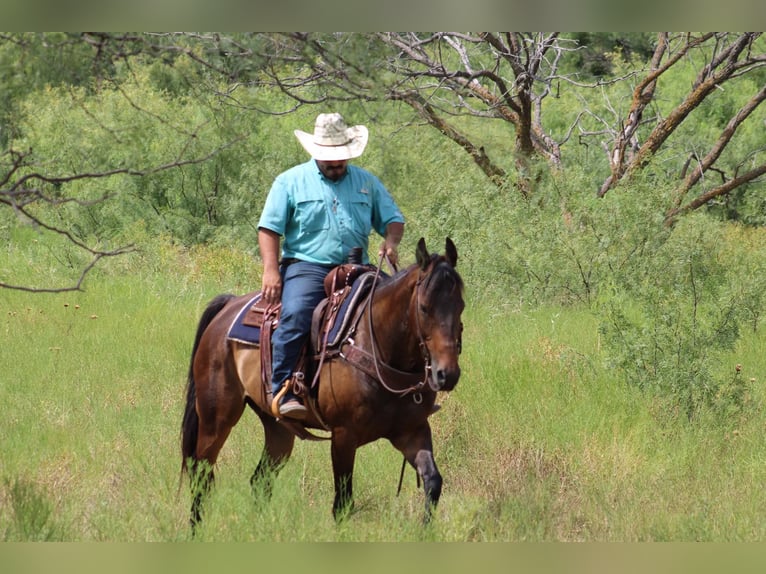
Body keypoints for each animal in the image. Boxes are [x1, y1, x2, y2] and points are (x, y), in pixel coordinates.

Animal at [182, 236, 468, 532]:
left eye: (461, 306)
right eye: (424, 308)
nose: (446, 374)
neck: (377, 345)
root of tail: (226, 309)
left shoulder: (412, 431)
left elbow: (433, 482)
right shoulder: (344, 435)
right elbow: (343, 502)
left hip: (277, 429)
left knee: (260, 479)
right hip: (216, 418)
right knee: (201, 474)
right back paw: (196, 531)